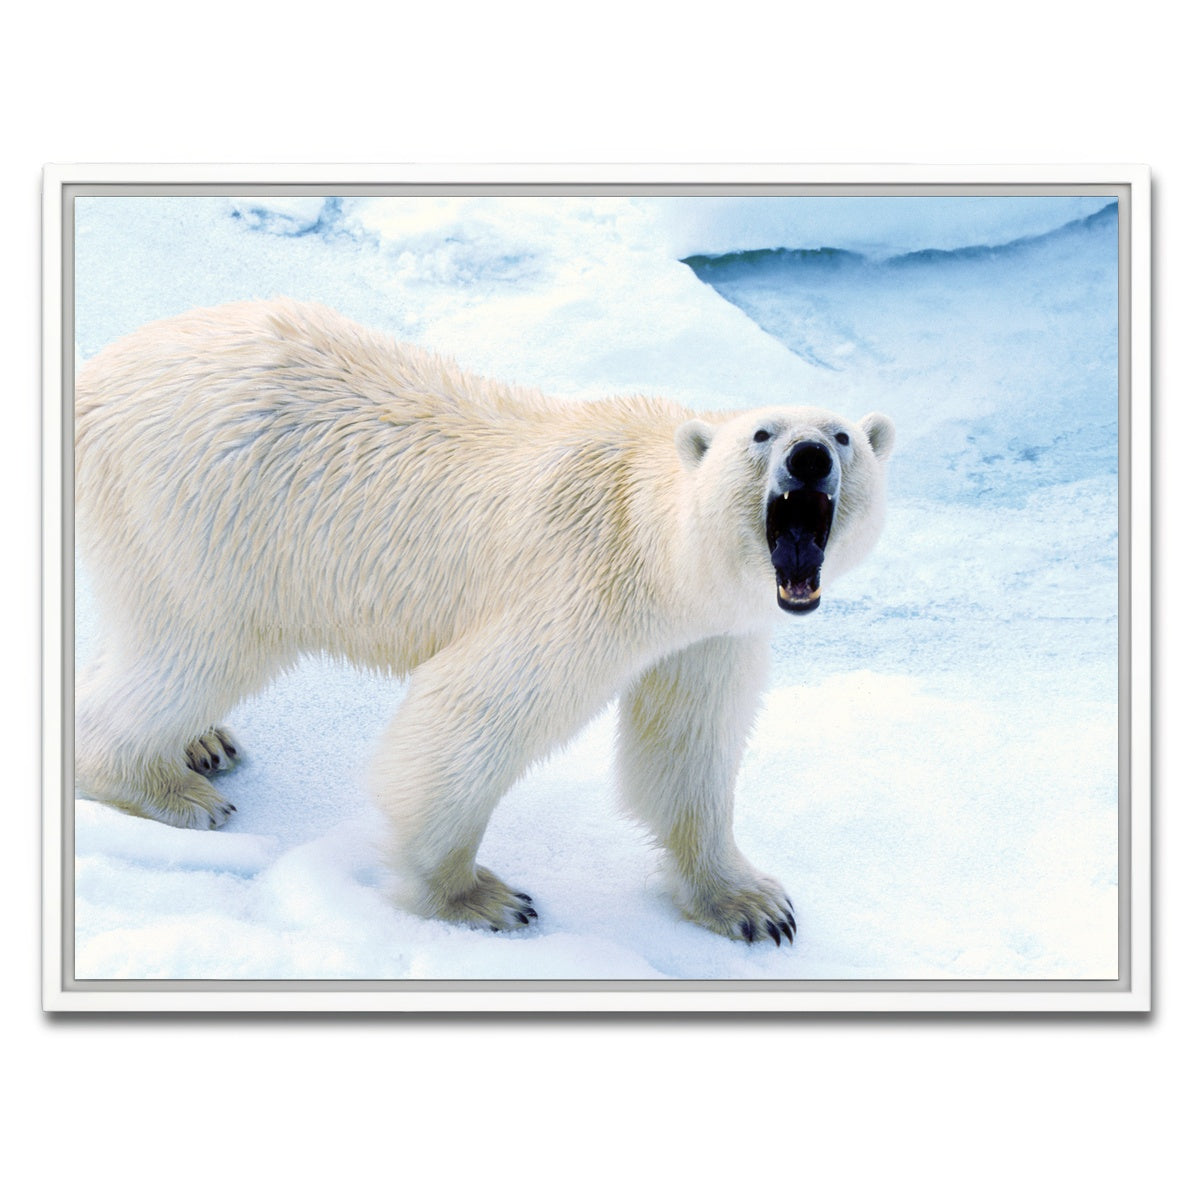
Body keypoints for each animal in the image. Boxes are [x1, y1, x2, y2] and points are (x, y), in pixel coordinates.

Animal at [74, 299, 895, 944]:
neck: (656, 540)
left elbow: (686, 749)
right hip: (207, 511)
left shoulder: (709, 635)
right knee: (197, 647)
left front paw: (752, 903)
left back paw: (203, 742)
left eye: (843, 435)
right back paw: (168, 787)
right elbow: (468, 716)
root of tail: (96, 374)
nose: (809, 457)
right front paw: (479, 897)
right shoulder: (581, 587)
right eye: (761, 434)